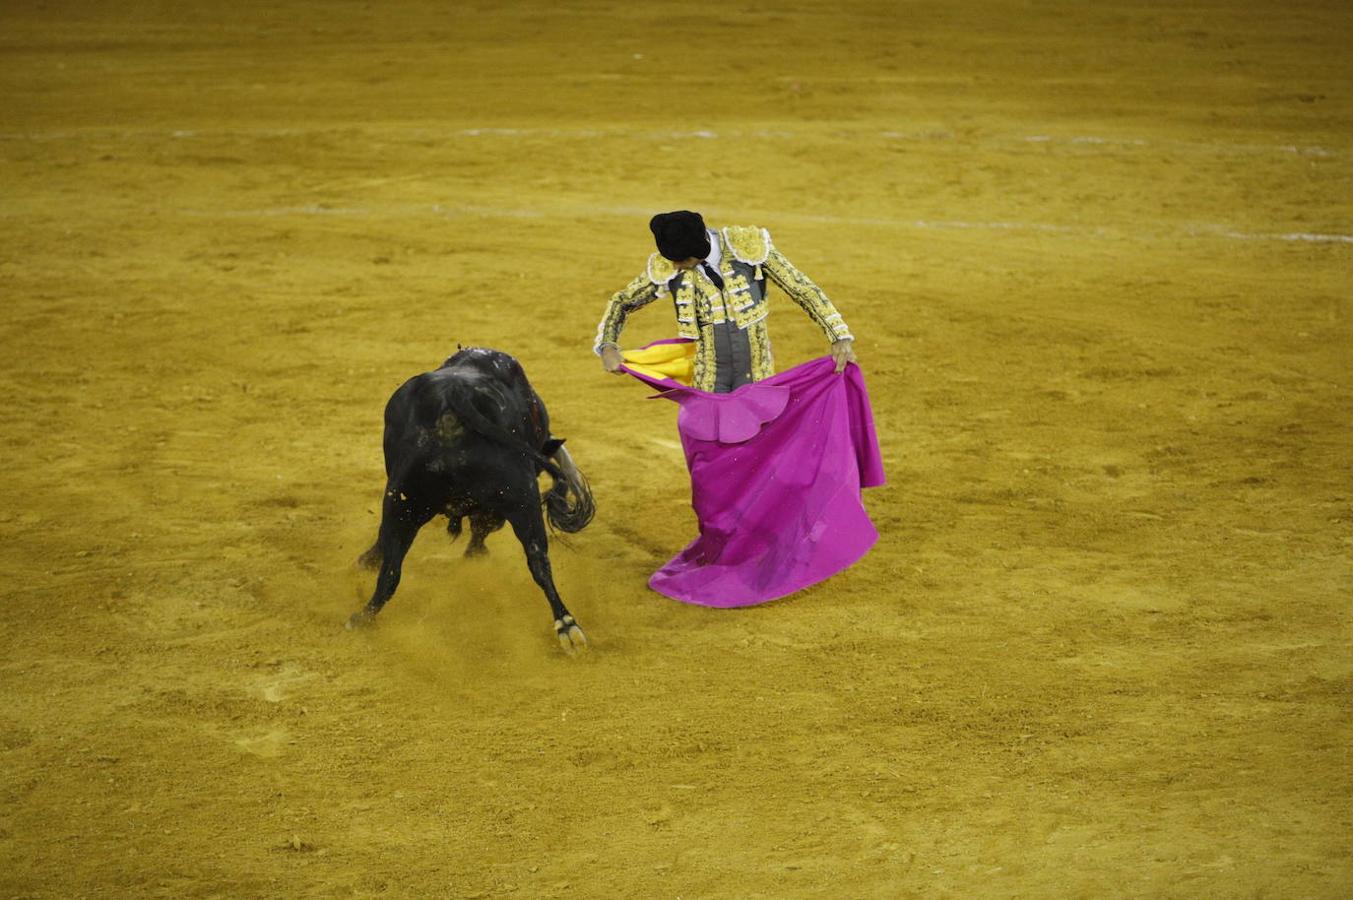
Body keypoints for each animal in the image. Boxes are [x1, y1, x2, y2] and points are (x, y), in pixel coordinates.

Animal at [349, 346, 598, 649]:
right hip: (520, 498)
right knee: (538, 560)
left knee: (391, 568)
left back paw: (362, 617)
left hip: (403, 500)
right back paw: (567, 625)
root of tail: (455, 397)